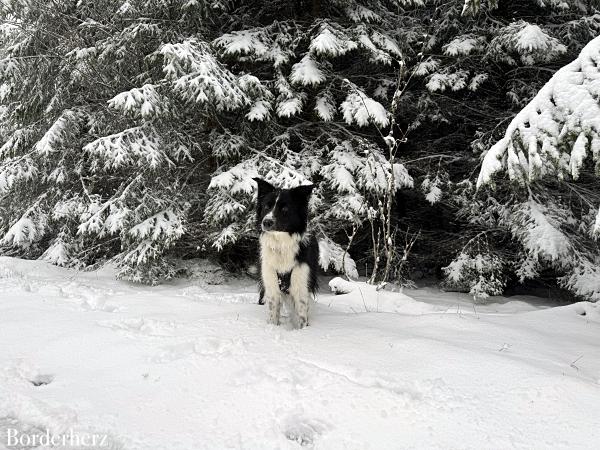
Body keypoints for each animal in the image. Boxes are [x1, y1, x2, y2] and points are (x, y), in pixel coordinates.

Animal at [253, 178, 318, 328]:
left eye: (285, 209)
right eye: (266, 206)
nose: (266, 222)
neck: (281, 245)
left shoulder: (301, 286)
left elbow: (302, 316)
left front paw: (303, 330)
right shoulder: (271, 285)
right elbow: (273, 313)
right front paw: (272, 327)